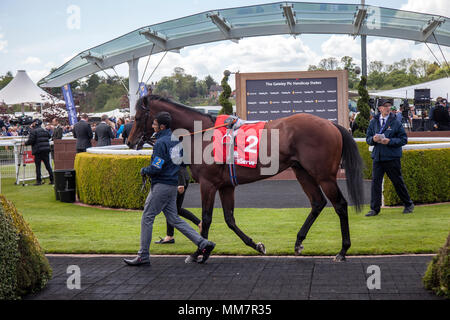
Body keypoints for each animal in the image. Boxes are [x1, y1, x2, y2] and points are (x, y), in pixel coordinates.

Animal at [126, 95, 366, 262]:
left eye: (137, 117)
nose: (129, 141)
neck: (203, 134)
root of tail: (332, 124)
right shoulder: (226, 186)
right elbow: (230, 219)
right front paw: (256, 245)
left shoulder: (208, 184)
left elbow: (207, 219)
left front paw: (198, 252)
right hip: (302, 171)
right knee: (317, 202)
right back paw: (298, 242)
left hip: (323, 175)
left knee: (340, 205)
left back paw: (342, 250)